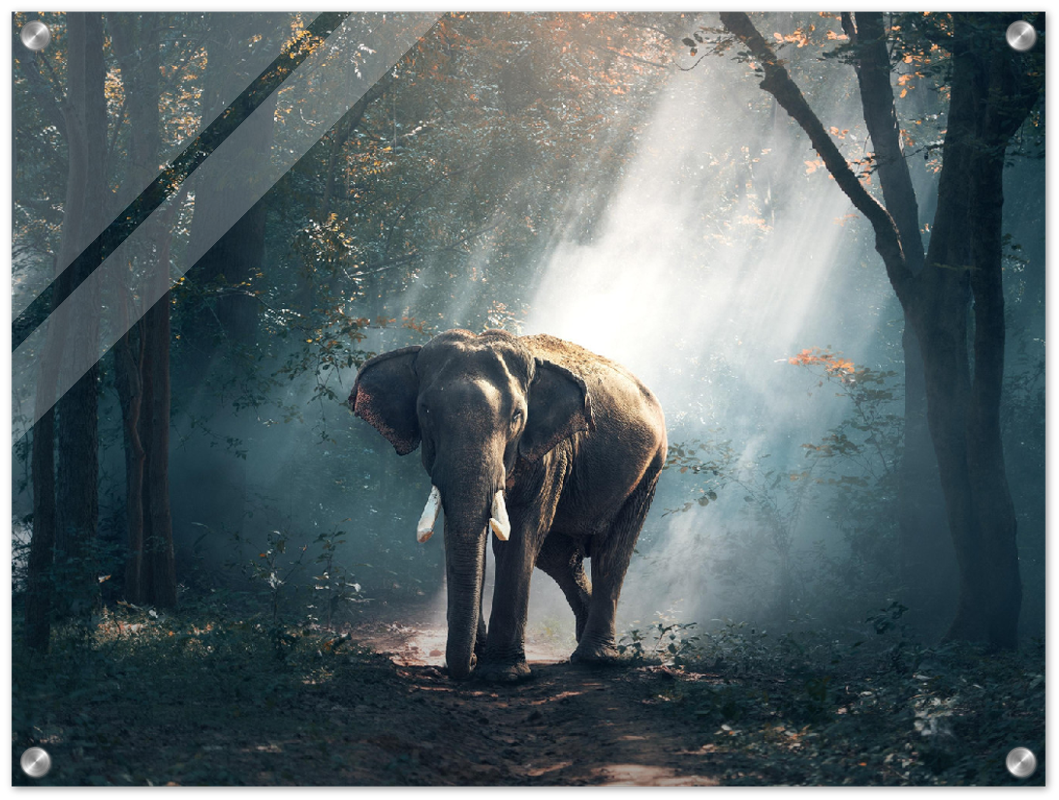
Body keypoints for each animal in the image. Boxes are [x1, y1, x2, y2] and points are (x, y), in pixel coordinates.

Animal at [349, 328, 667, 681]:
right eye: (426, 411)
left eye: (517, 416)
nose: (468, 664)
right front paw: (482, 657)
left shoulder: (549, 453)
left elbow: (521, 533)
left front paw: (503, 674)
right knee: (559, 557)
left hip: (649, 471)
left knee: (611, 551)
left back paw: (596, 658)